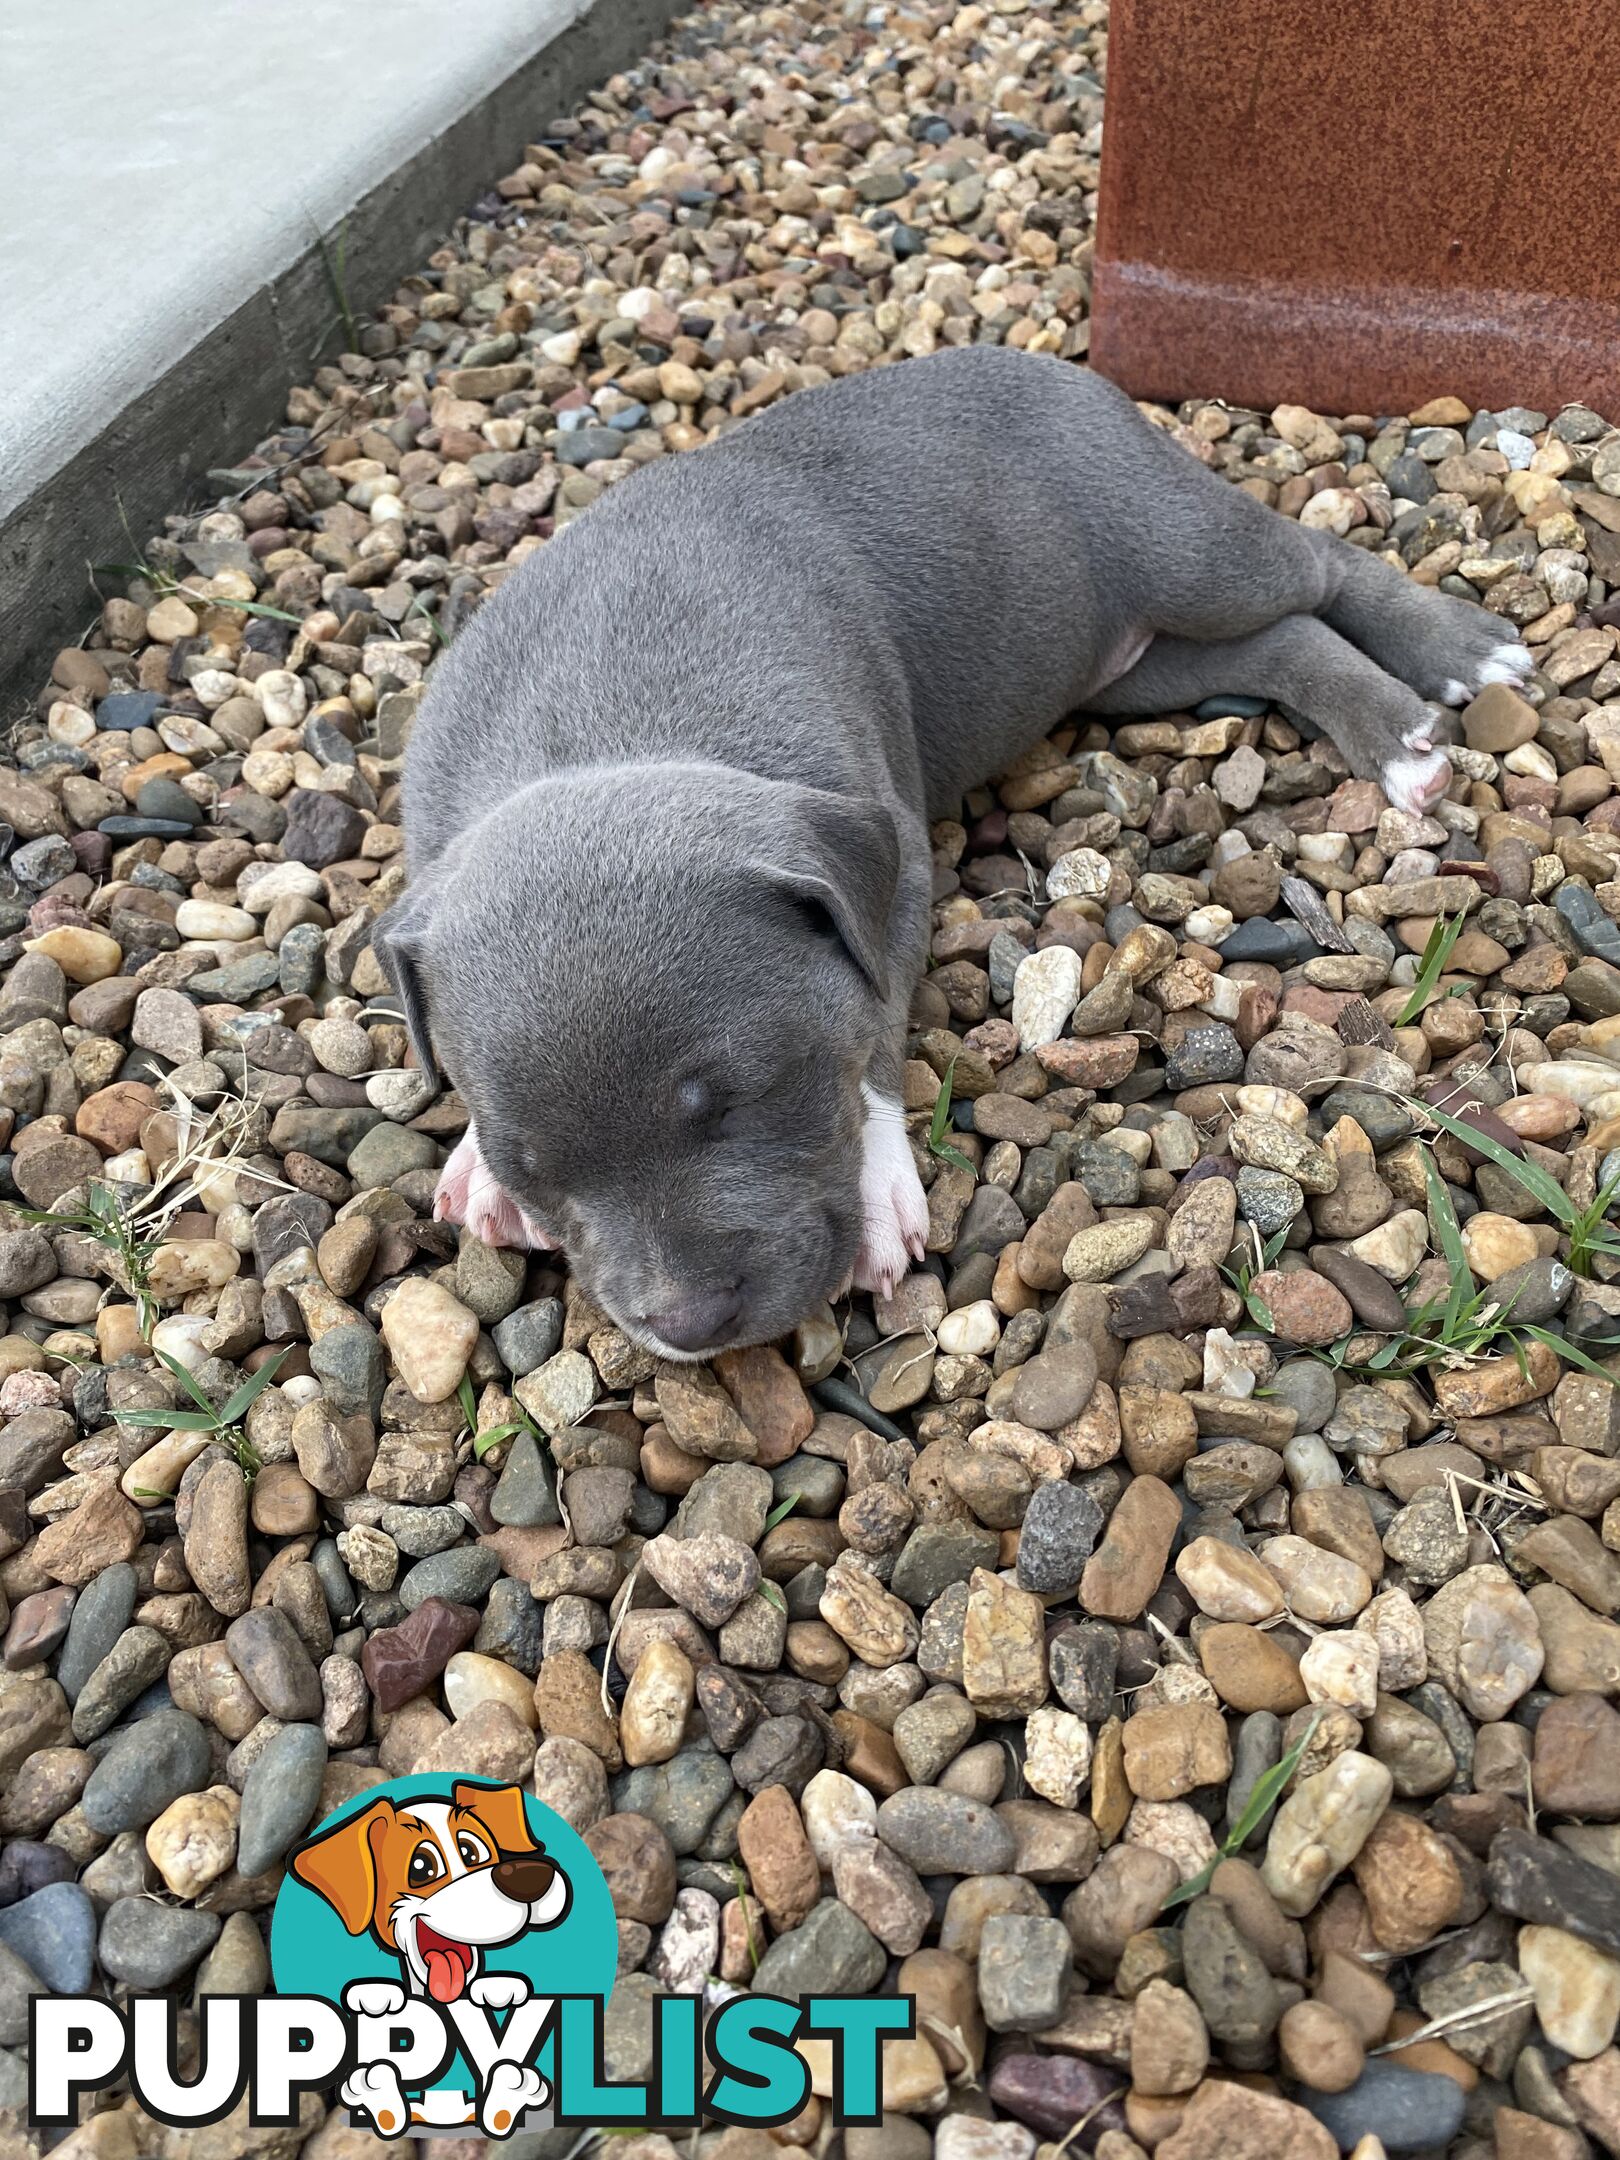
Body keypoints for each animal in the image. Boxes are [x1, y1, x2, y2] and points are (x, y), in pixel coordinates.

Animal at [380, 345, 1537, 1356]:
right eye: (535, 1164)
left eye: (740, 1098)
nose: (690, 1328)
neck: (602, 730)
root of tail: (1050, 362)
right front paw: (471, 1169)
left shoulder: (888, 871)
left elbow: (874, 1023)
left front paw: (881, 1185)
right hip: (1123, 660)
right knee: (1279, 642)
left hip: (1183, 544)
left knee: (1317, 568)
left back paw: (1444, 671)